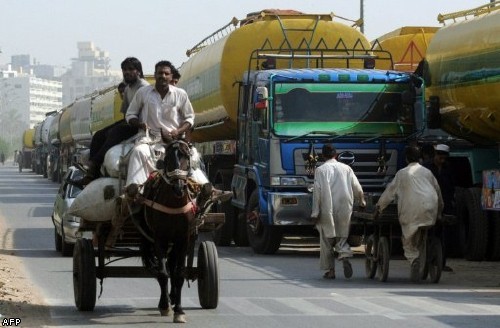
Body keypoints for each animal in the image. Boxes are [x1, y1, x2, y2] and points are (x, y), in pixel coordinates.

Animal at [138, 136, 200, 322]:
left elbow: (178, 274)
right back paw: (165, 302)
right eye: (167, 158)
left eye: (186, 156)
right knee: (163, 269)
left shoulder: (184, 239)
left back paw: (173, 298)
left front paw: (179, 310)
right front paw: (165, 306)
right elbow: (163, 273)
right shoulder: (159, 238)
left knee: (172, 266)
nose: (178, 187)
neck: (174, 203)